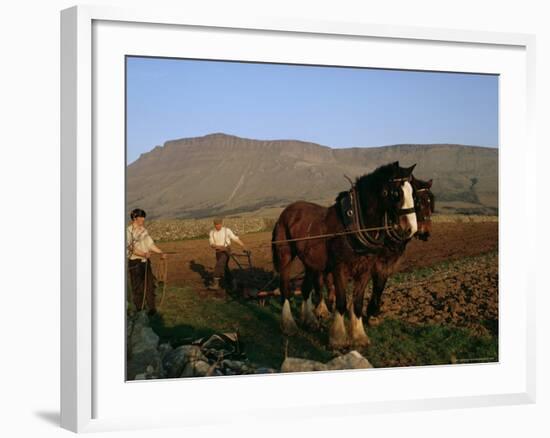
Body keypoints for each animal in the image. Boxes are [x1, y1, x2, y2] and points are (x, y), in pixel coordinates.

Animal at [274, 162, 420, 350]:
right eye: (396, 193)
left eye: (413, 193)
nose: (411, 229)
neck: (355, 225)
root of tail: (287, 211)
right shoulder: (339, 269)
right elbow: (342, 302)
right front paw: (338, 338)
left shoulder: (365, 270)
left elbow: (357, 303)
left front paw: (359, 336)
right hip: (285, 255)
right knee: (285, 289)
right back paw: (289, 325)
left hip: (310, 262)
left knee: (306, 289)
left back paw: (310, 321)